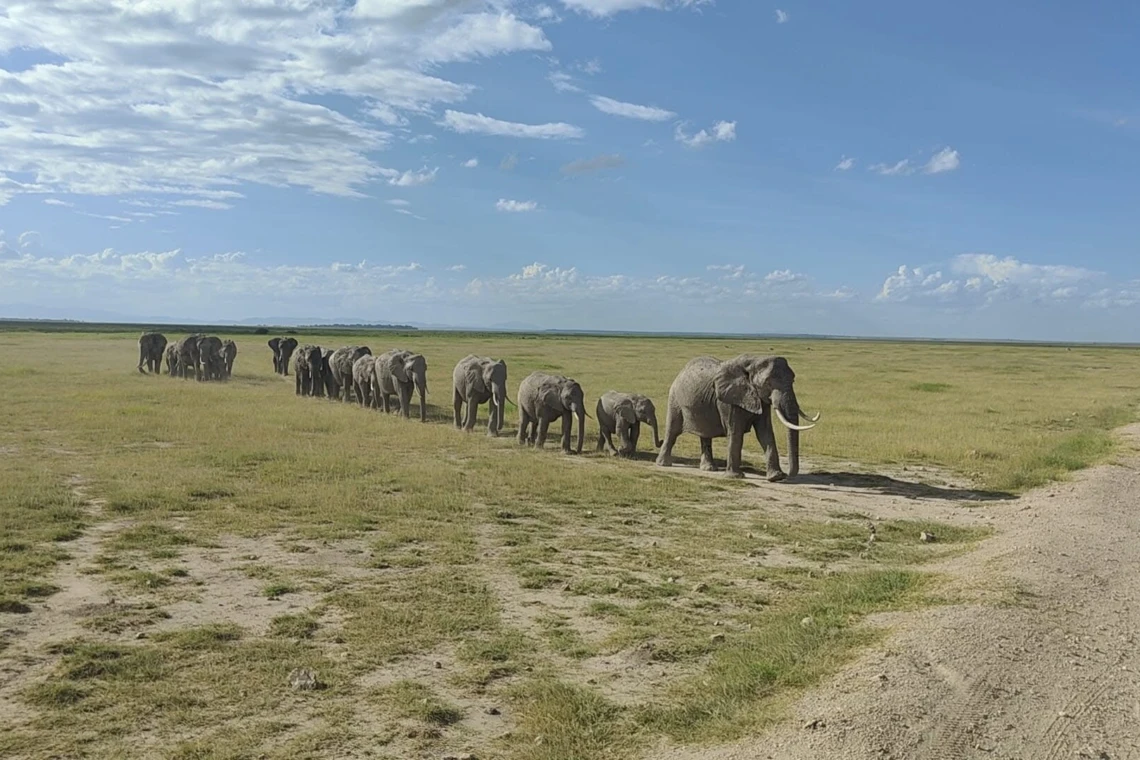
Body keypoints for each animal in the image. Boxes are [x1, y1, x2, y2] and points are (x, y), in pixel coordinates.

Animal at [655, 355, 819, 481]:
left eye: (793, 380)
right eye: (768, 383)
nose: (789, 475)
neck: (754, 361)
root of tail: (681, 372)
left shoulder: (760, 399)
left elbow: (765, 433)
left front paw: (776, 477)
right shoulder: (728, 400)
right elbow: (735, 432)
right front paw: (735, 477)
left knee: (705, 435)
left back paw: (709, 469)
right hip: (675, 399)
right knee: (672, 431)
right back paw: (663, 464)